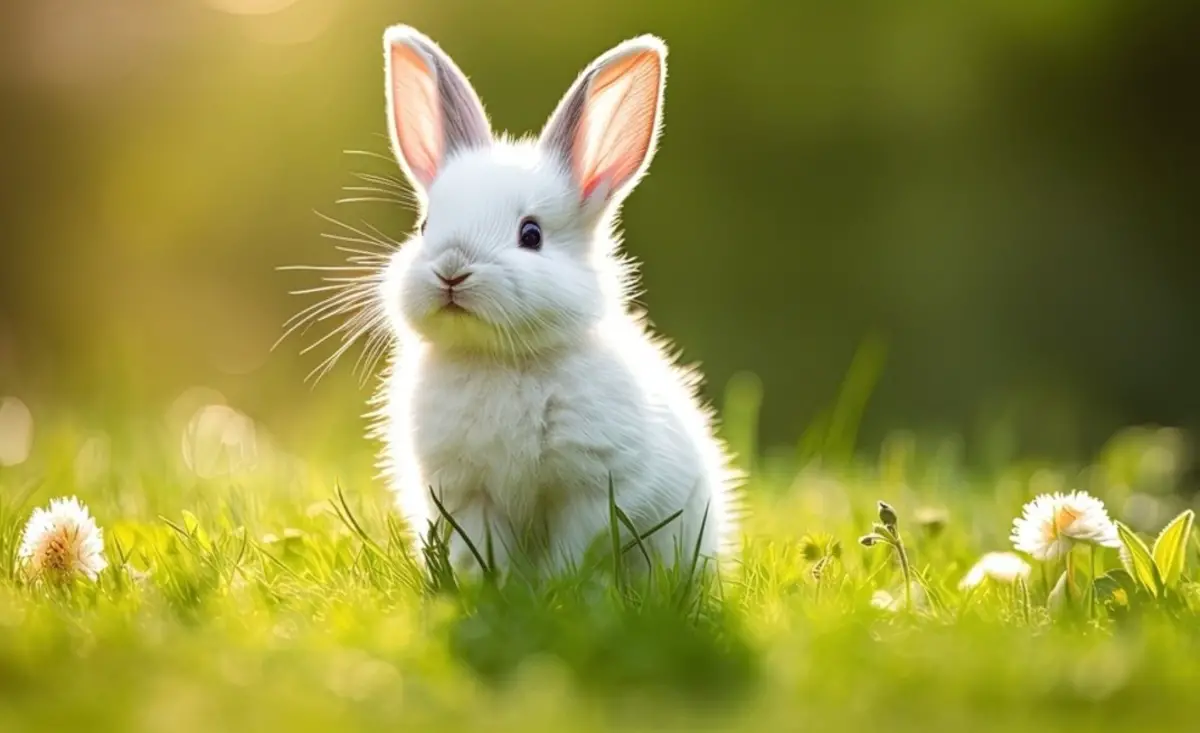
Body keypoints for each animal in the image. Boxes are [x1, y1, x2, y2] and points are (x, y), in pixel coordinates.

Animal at [369, 24, 739, 578]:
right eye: (424, 227)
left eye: (531, 234)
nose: (452, 269)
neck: (501, 359)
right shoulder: (468, 496)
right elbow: (482, 552)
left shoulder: (587, 488)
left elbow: (574, 552)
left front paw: (560, 590)